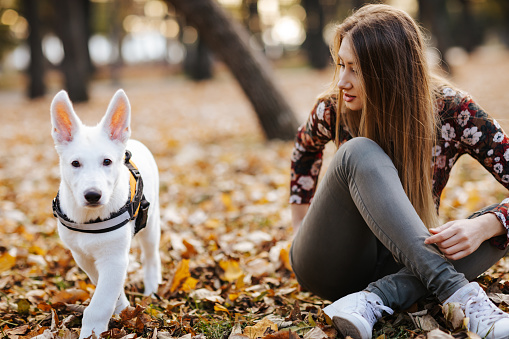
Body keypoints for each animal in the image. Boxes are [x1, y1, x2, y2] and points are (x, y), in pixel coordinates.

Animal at [49, 89, 161, 338]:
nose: (93, 195)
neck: (90, 219)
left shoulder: (114, 257)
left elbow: (99, 304)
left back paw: (152, 287)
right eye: (75, 163)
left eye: (107, 161)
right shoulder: (82, 256)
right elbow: (107, 290)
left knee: (151, 256)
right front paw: (122, 308)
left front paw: (91, 331)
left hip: (151, 224)